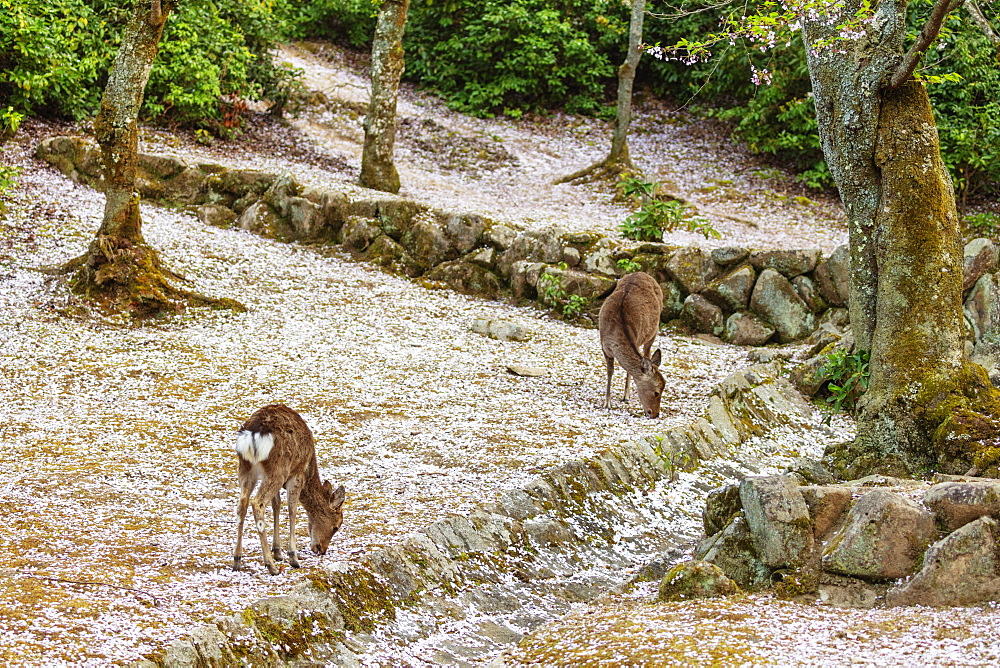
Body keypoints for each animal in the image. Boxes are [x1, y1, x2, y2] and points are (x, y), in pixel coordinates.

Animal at [232, 402, 346, 576]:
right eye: (336, 527)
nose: (322, 549)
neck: (310, 468)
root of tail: (253, 435)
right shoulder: (297, 475)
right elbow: (292, 509)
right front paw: (293, 557)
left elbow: (277, 505)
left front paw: (278, 552)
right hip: (278, 469)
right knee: (257, 503)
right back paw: (271, 566)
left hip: (246, 469)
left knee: (242, 503)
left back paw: (237, 560)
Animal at [596, 272, 668, 418]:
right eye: (656, 392)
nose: (655, 414)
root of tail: (643, 273)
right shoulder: (604, 347)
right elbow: (610, 371)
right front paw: (607, 403)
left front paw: (623, 396)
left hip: (653, 332)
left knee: (647, 353)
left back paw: (626, 396)